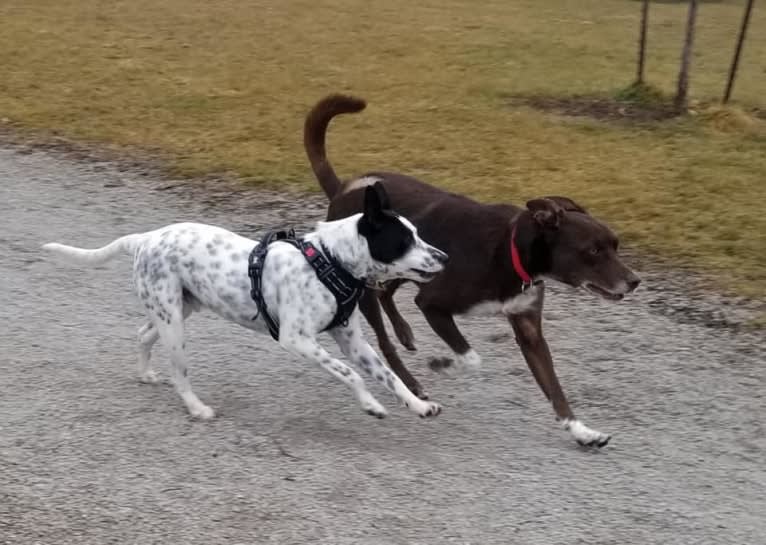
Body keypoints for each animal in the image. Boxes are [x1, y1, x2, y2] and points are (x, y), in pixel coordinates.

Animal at [42, 183, 450, 420]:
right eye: (404, 241)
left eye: (417, 234)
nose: (445, 257)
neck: (330, 261)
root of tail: (144, 238)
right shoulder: (297, 339)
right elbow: (350, 373)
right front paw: (370, 404)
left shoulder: (353, 341)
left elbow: (389, 376)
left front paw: (418, 405)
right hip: (174, 325)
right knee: (178, 372)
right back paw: (197, 408)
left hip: (177, 310)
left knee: (142, 335)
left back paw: (144, 373)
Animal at [306, 93, 640, 446]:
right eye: (593, 251)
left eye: (616, 245)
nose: (634, 281)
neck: (511, 249)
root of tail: (343, 190)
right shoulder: (432, 304)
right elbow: (471, 356)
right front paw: (446, 363)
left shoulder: (529, 328)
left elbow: (554, 389)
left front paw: (582, 431)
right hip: (375, 284)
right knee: (384, 339)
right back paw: (412, 382)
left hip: (410, 266)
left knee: (389, 296)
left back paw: (405, 333)